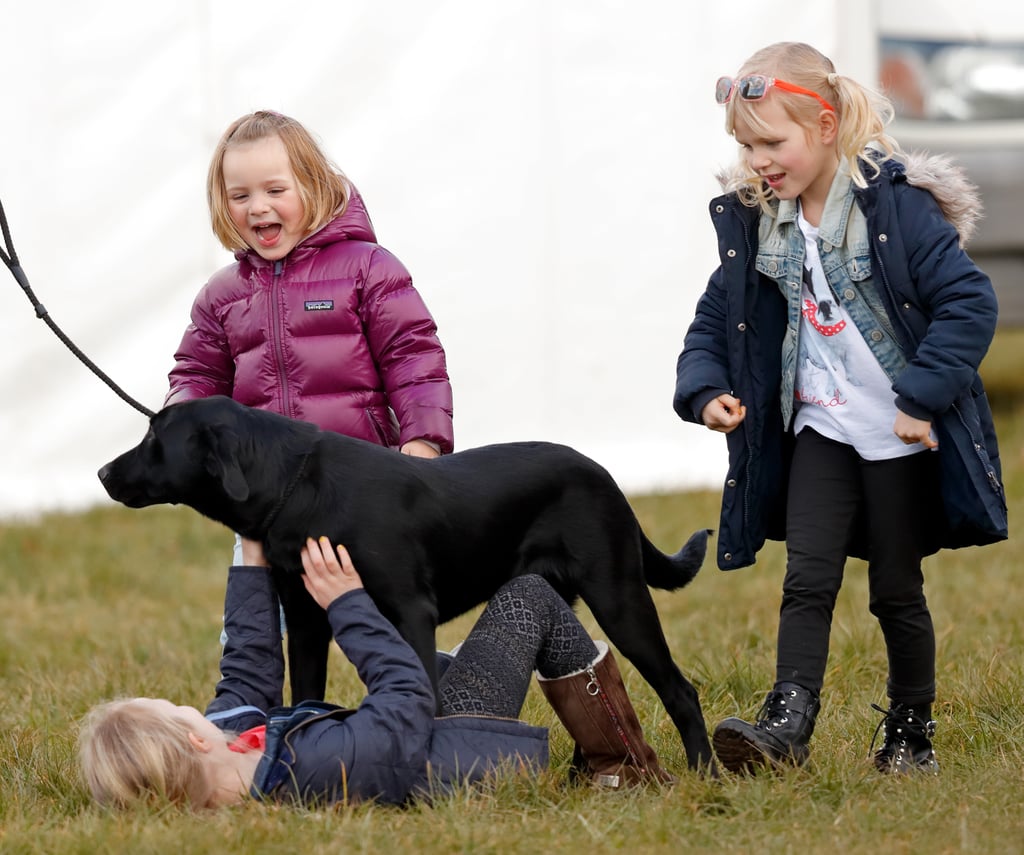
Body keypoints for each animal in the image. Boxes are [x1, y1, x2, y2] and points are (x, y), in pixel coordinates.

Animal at [99, 397, 716, 774]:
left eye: (155, 435)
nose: (103, 472)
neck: (296, 487)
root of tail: (606, 475)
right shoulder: (306, 621)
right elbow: (304, 691)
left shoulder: (410, 611)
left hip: (619, 594)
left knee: (679, 690)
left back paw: (703, 771)